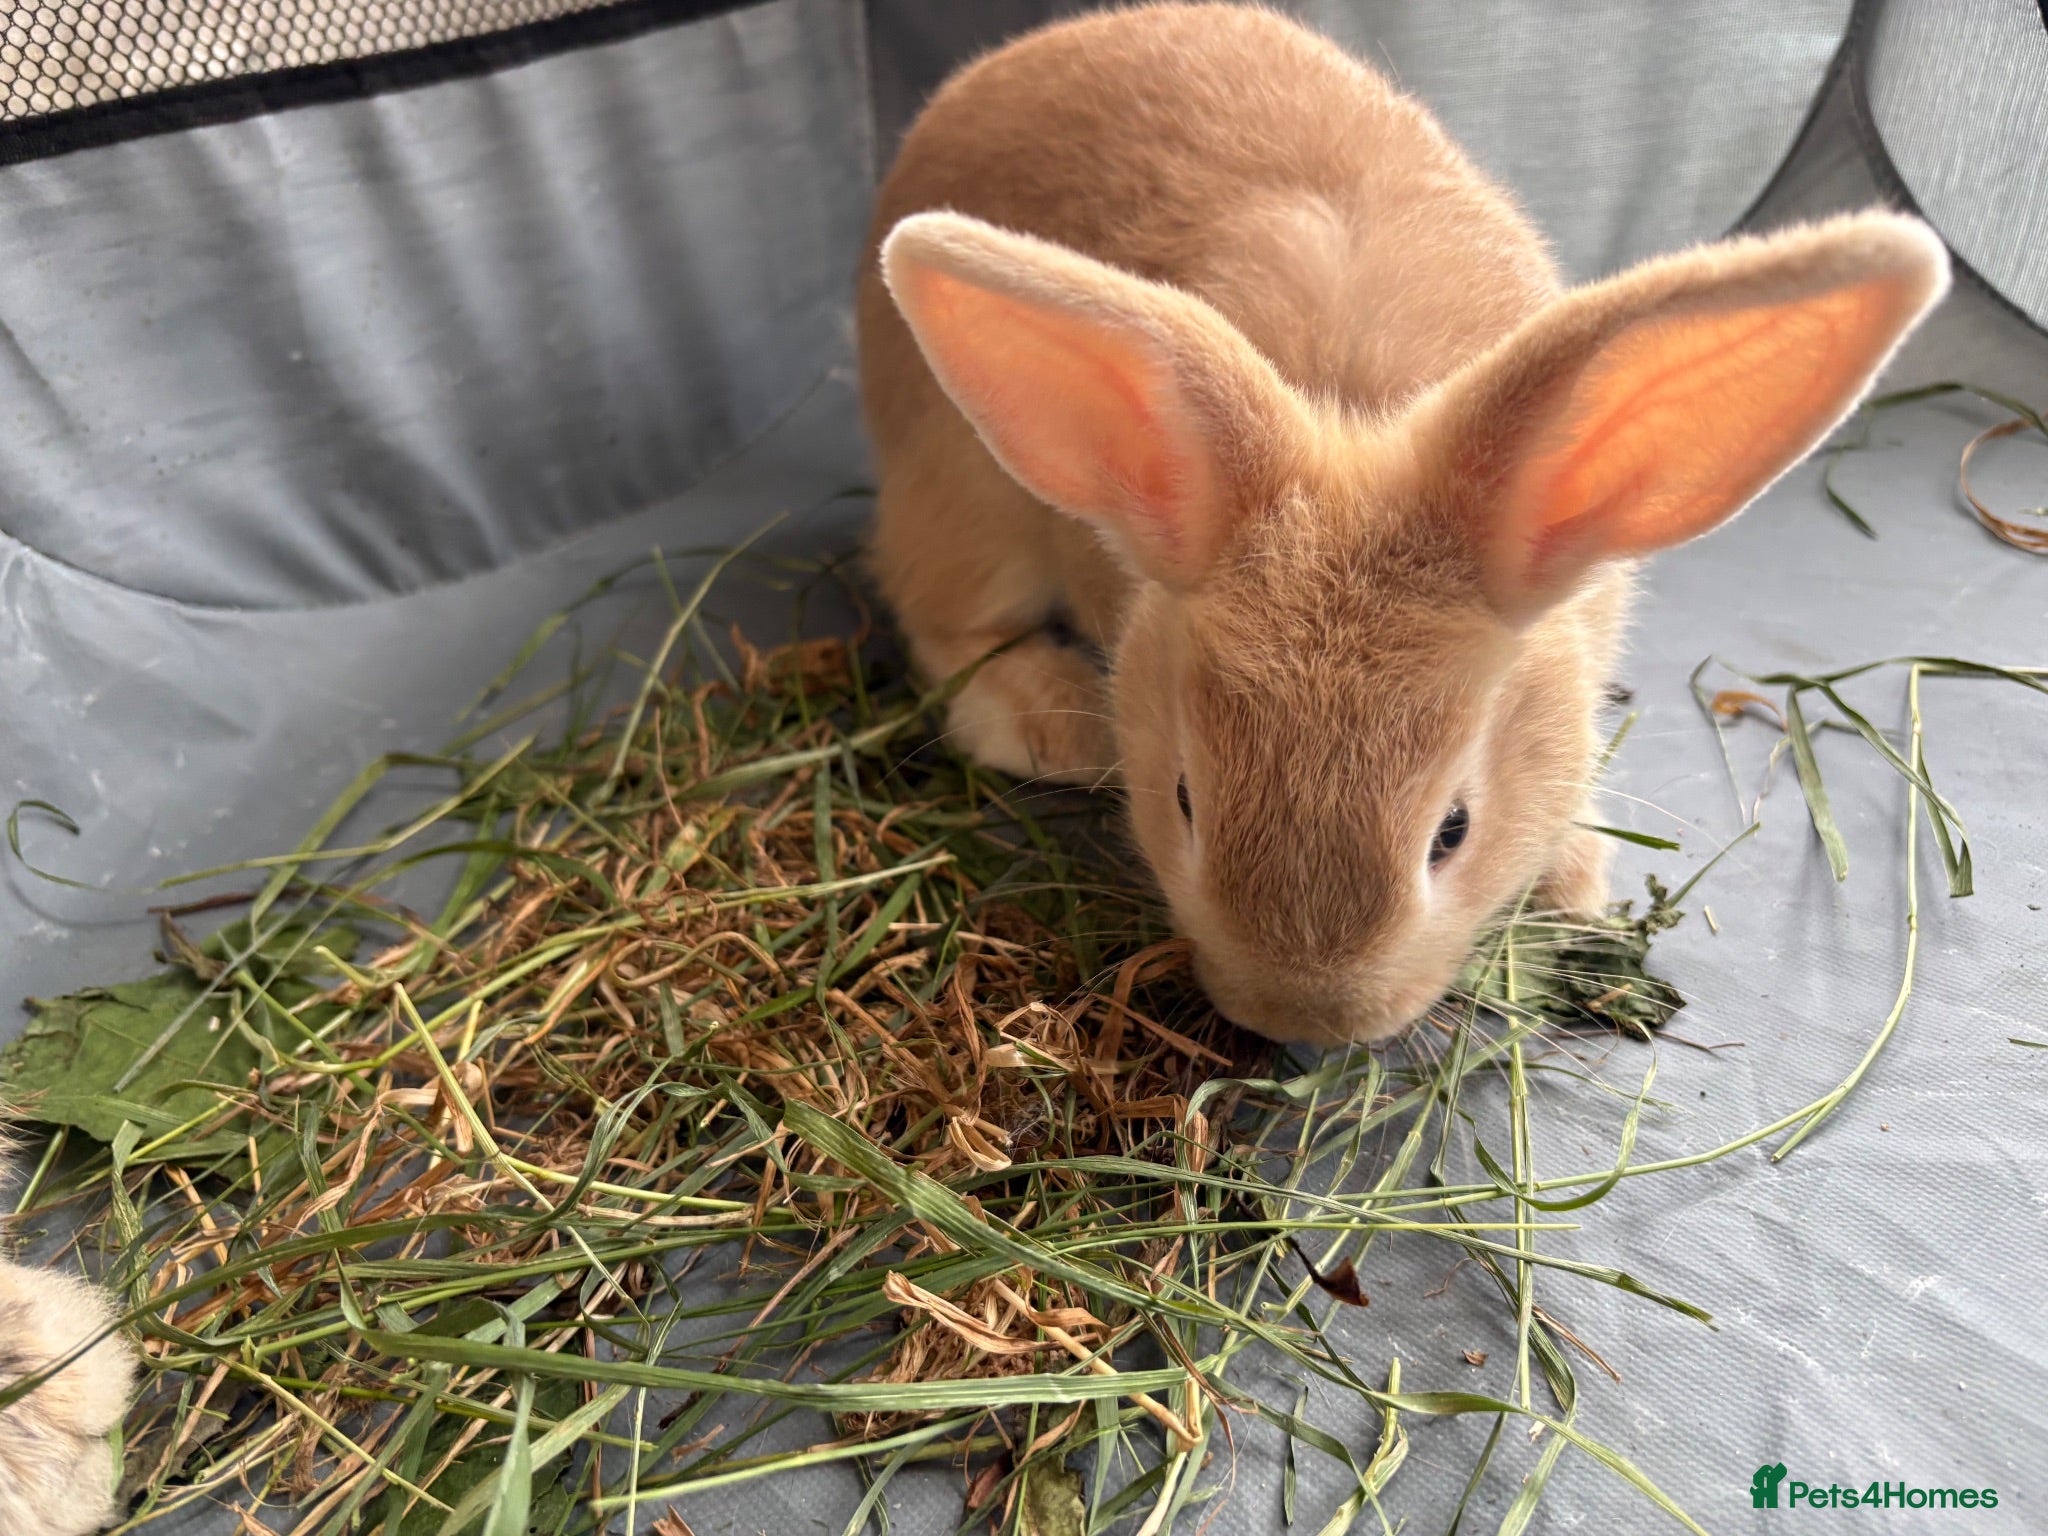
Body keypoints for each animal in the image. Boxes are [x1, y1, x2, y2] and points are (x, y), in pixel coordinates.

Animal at [857, 2, 1948, 1043]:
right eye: (1183, 802)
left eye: (1451, 833)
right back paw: (1054, 721)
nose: (1304, 1018)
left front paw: (1572, 884)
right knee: (948, 623)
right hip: (962, 495)